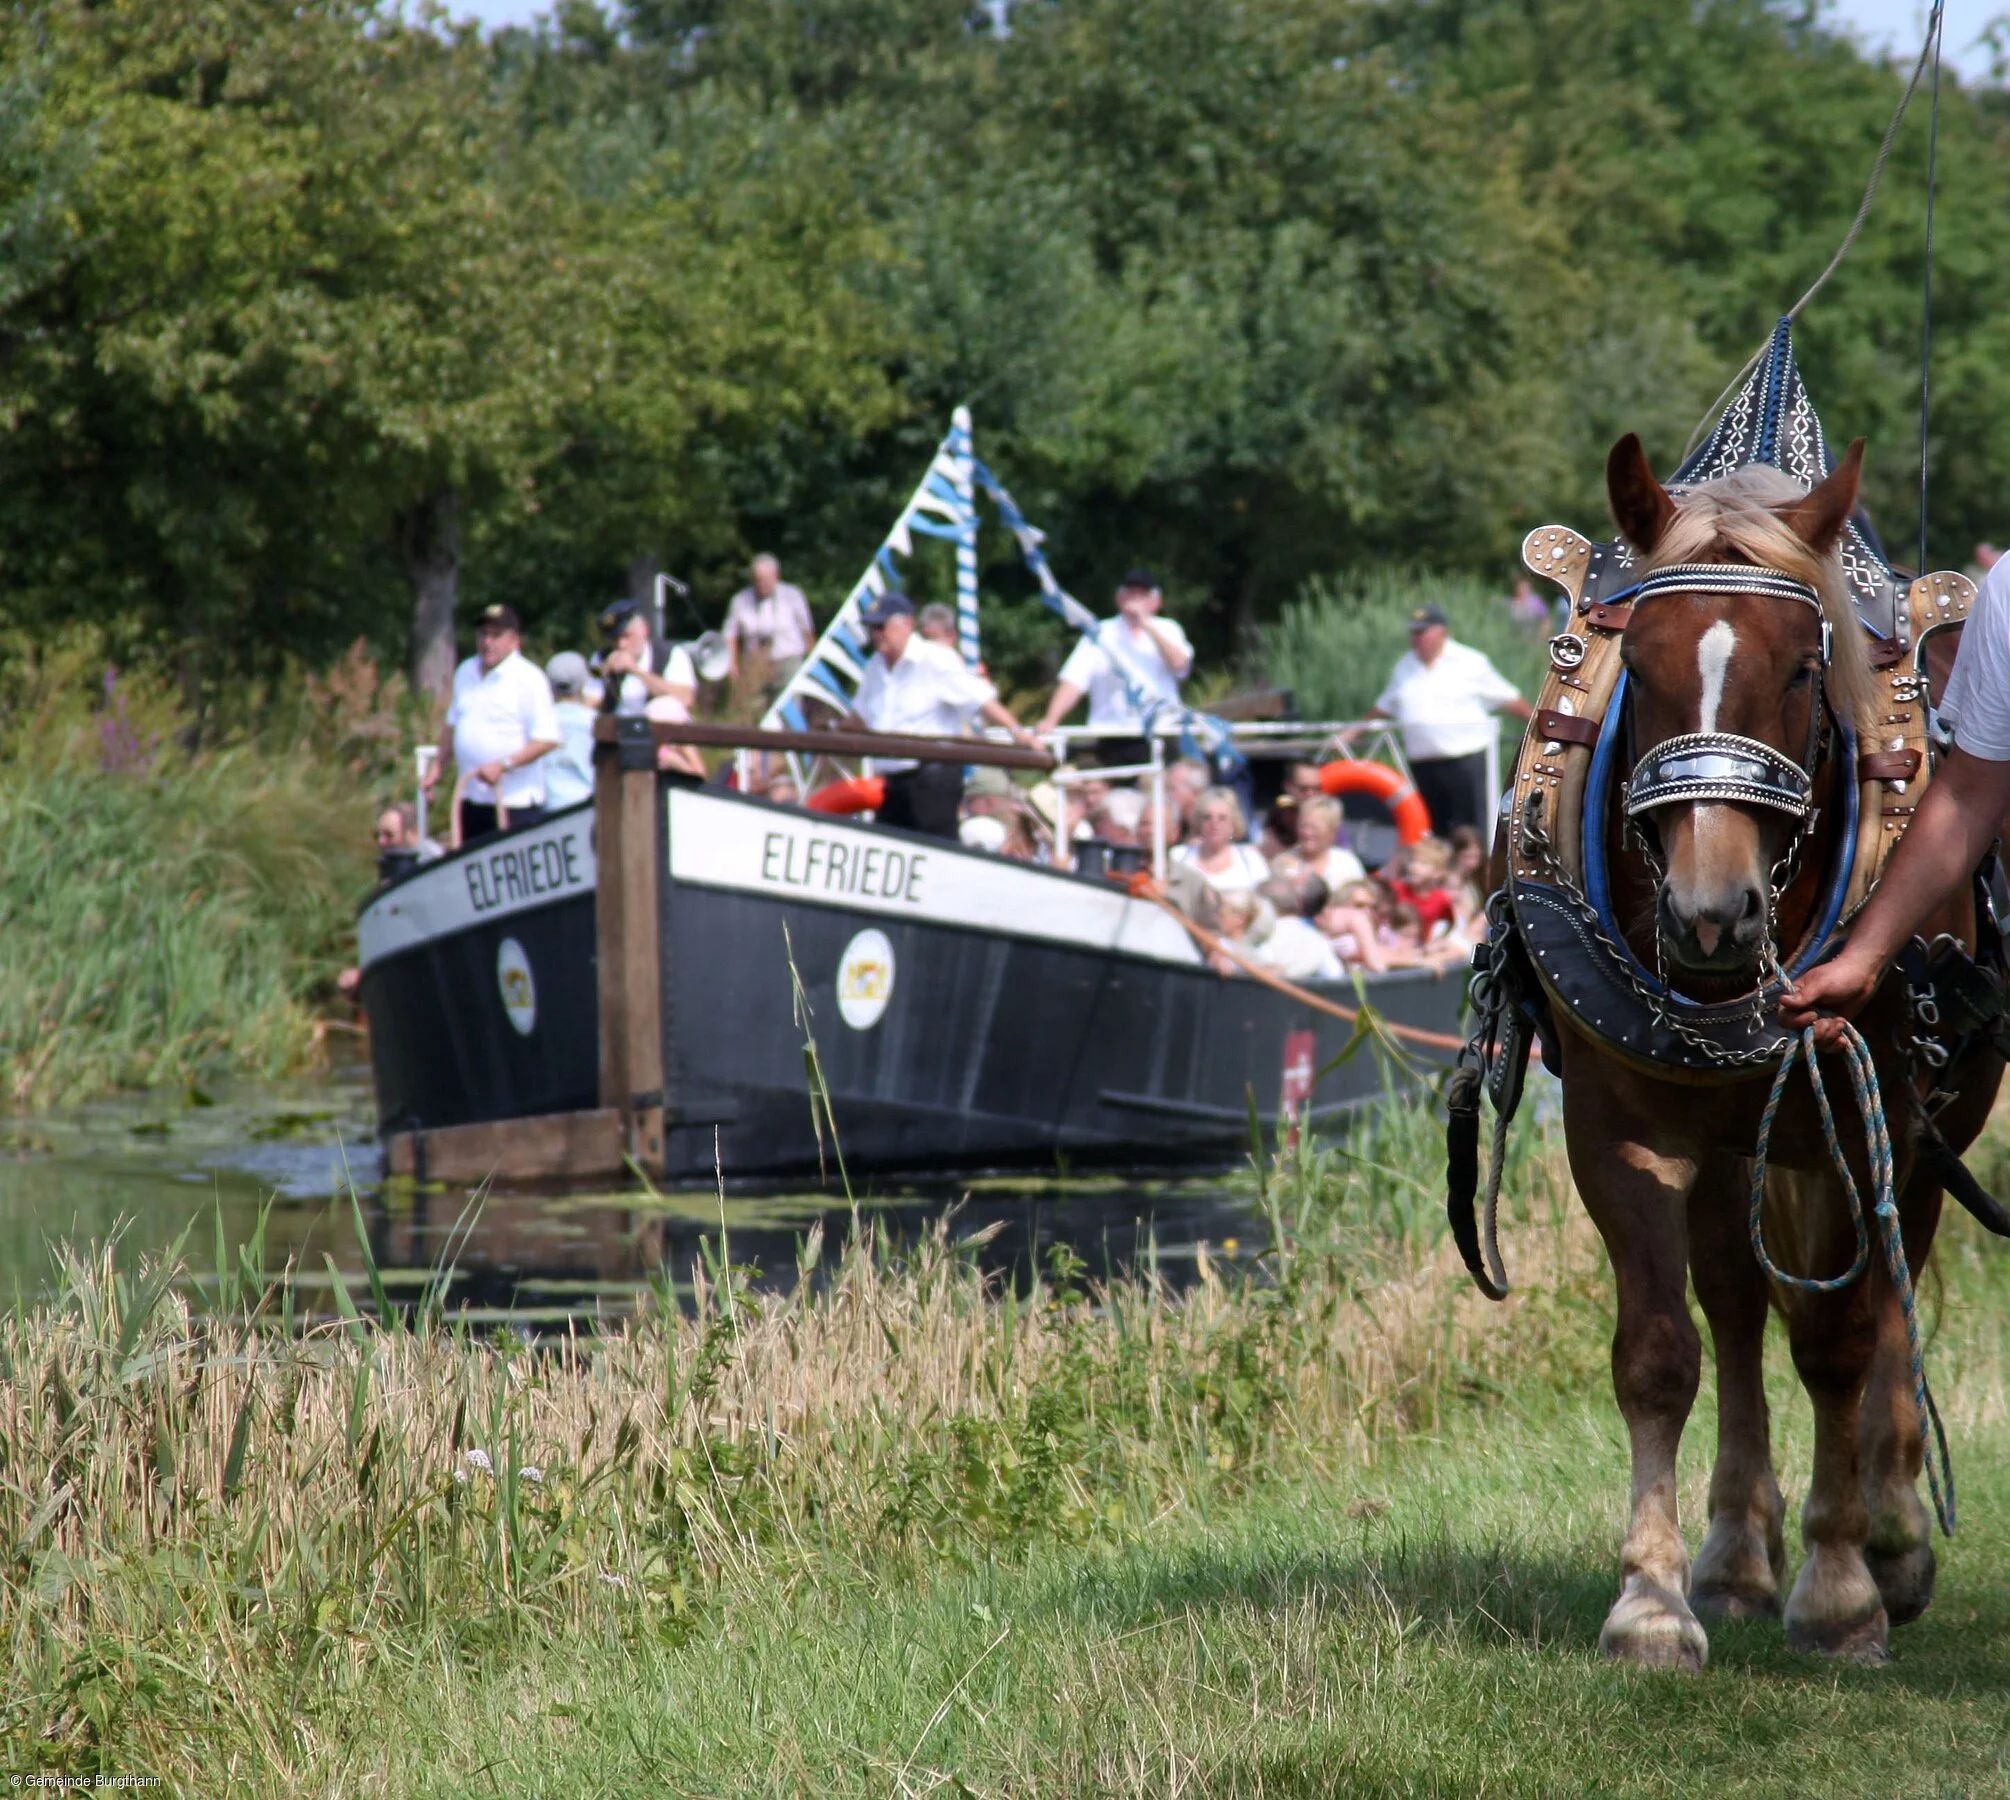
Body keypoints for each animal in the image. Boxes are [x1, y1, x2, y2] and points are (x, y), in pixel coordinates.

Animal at [1551, 439, 1993, 1671]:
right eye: (1640, 667)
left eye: (1802, 672)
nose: (1712, 917)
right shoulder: (1622, 1131)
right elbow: (1660, 1353)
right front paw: (1652, 1603)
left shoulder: (1857, 1105)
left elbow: (1840, 1343)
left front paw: (1840, 1587)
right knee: (1739, 1303)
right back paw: (1737, 1552)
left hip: (1927, 1124)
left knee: (1888, 1286)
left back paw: (1892, 1535)